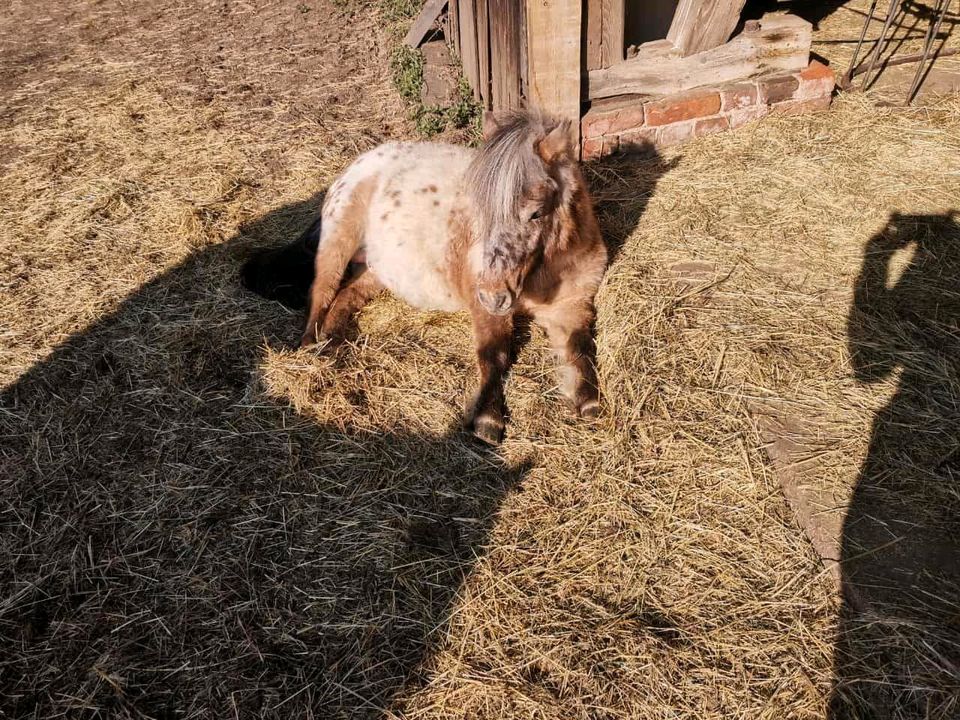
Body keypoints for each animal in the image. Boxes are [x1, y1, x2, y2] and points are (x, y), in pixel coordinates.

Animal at [302, 109, 608, 442]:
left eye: (537, 212)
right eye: (480, 208)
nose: (494, 295)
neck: (542, 274)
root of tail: (365, 159)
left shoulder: (571, 307)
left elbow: (580, 348)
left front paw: (590, 403)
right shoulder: (486, 311)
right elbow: (494, 355)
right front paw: (488, 420)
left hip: (378, 269)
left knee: (346, 294)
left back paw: (331, 340)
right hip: (338, 238)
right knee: (322, 291)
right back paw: (311, 348)